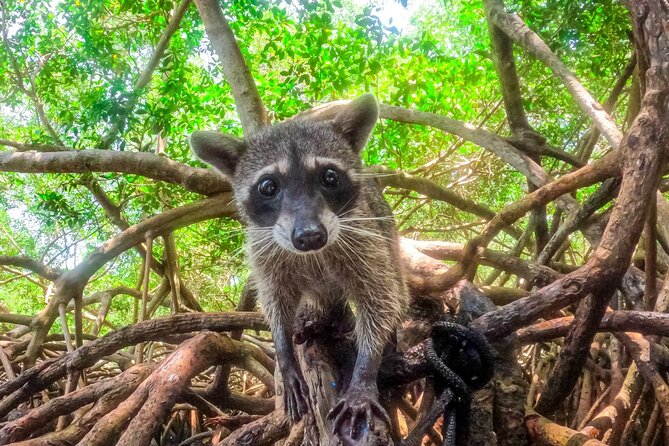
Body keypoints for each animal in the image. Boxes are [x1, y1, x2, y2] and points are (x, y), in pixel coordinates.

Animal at [188, 93, 408, 440]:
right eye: (268, 186)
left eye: (329, 177)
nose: (310, 236)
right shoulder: (264, 249)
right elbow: (274, 301)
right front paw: (284, 352)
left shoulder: (365, 238)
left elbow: (380, 300)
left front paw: (365, 371)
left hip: (387, 235)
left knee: (396, 290)